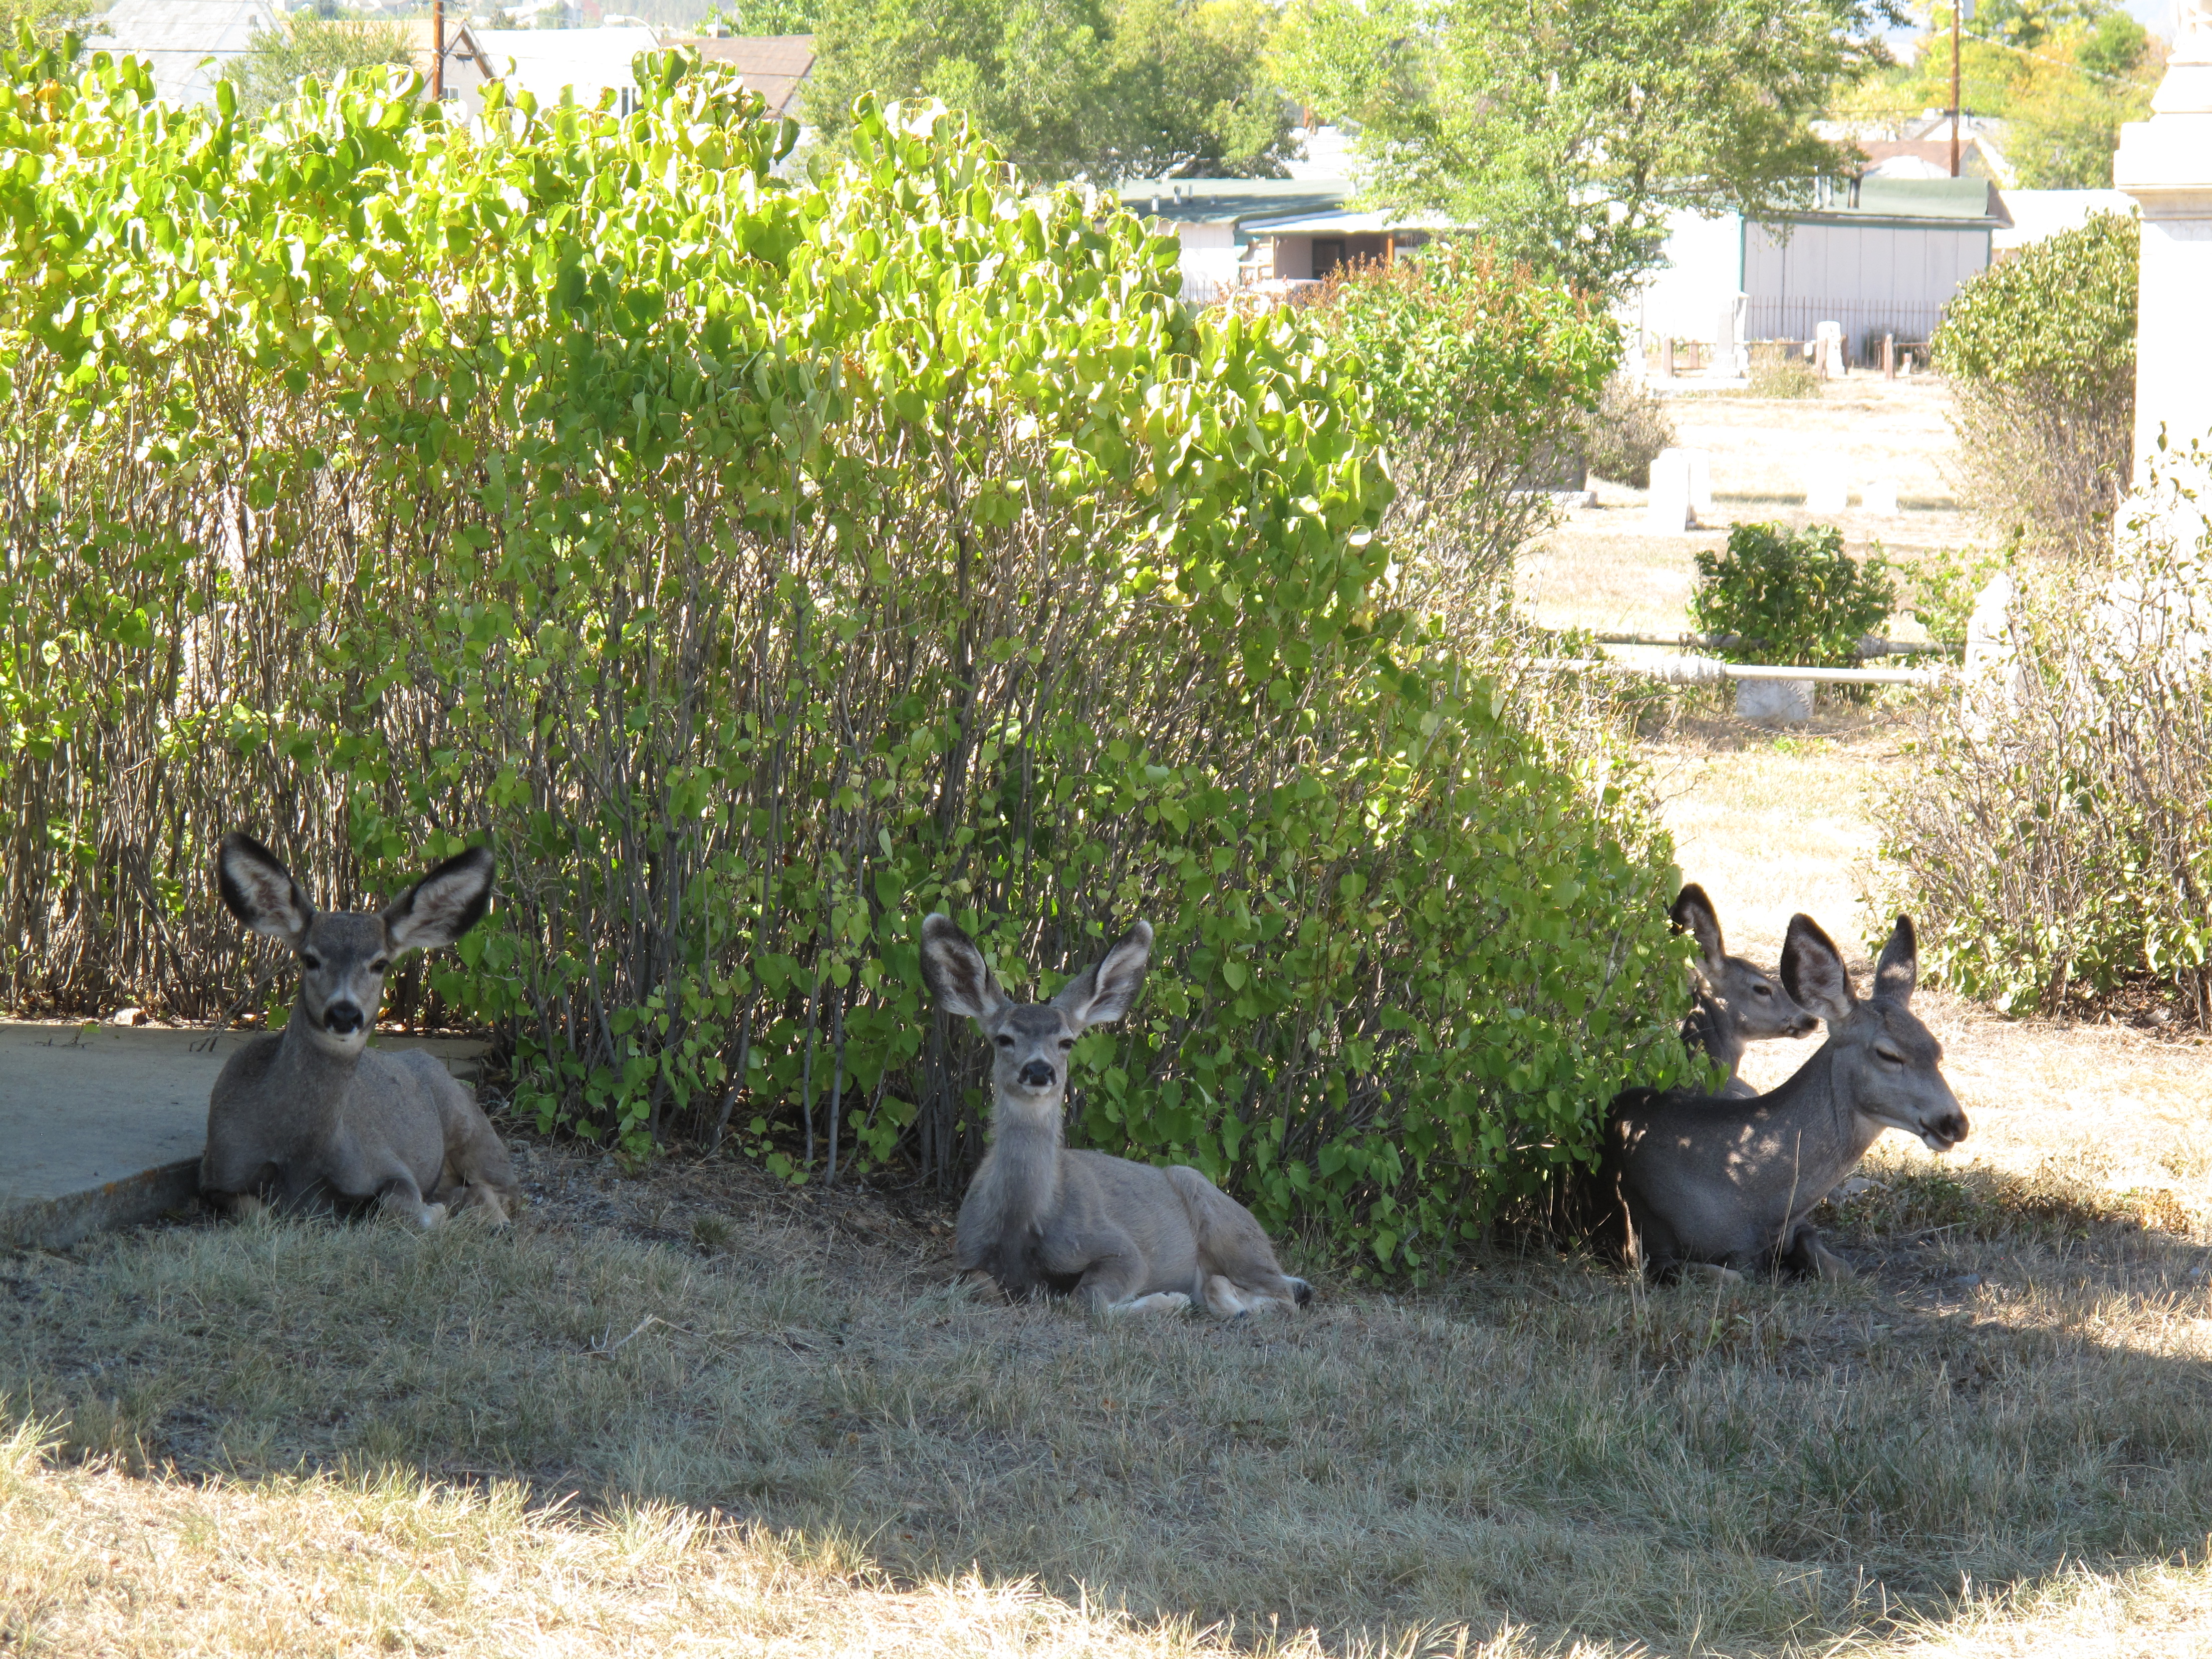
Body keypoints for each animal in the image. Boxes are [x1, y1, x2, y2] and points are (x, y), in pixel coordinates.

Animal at [201, 832, 519, 1238]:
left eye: (380, 963)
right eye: (310, 959)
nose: (344, 1013)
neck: (299, 1156)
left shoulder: (385, 1162)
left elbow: (401, 1209)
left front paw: (437, 1214)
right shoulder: (216, 1174)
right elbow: (257, 1214)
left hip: (473, 1129)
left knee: (505, 1188)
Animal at [920, 916, 1309, 1318]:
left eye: (1067, 1042)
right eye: (1004, 1039)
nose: (1039, 1070)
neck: (1022, 1225)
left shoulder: (1118, 1247)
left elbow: (1087, 1298)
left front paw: (1167, 1300)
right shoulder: (966, 1253)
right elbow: (980, 1287)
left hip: (1231, 1232)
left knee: (1283, 1296)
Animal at [1592, 911, 1973, 1283]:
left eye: (1937, 1050)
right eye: (1888, 1054)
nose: (1955, 1123)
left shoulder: (1798, 1226)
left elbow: (1840, 1269)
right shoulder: (1649, 1249)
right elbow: (1731, 1280)